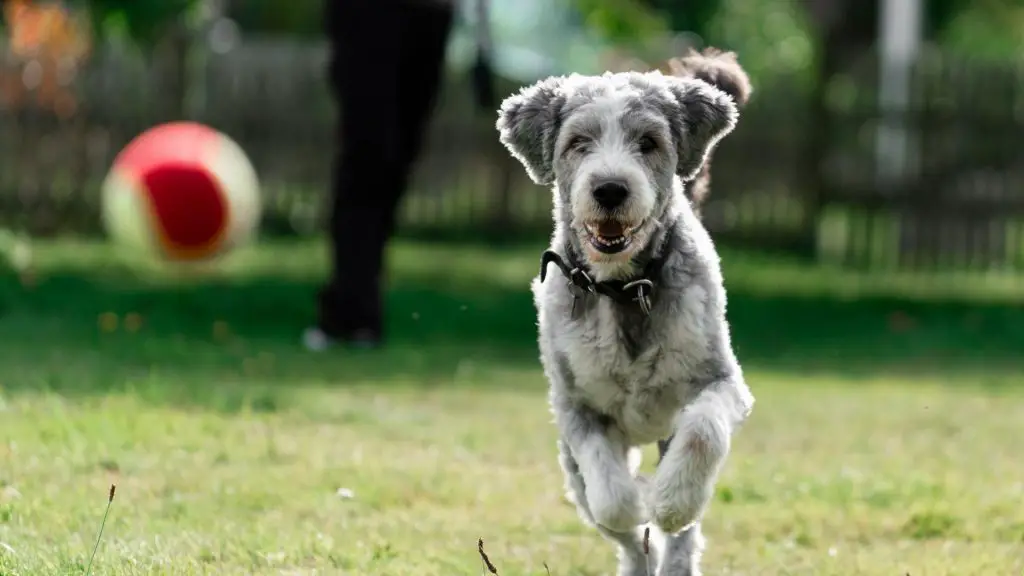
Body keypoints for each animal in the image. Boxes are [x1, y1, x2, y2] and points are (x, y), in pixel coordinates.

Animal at [497, 50, 761, 573]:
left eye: (648, 142)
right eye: (578, 142)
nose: (611, 189)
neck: (624, 289)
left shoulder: (722, 382)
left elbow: (703, 433)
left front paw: (670, 501)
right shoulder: (575, 408)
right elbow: (612, 497)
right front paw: (638, 501)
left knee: (683, 535)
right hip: (571, 468)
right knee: (618, 530)